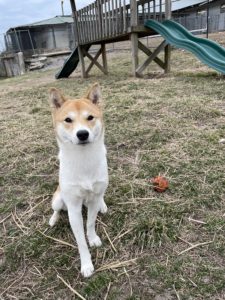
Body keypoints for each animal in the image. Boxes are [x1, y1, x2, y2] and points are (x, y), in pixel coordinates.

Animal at [48, 84, 108, 276]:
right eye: (68, 120)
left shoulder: (94, 197)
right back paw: (53, 219)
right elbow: (80, 241)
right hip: (58, 199)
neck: (83, 159)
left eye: (90, 117)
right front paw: (86, 264)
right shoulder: (73, 209)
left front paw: (93, 238)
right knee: (57, 209)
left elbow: (90, 224)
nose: (82, 134)